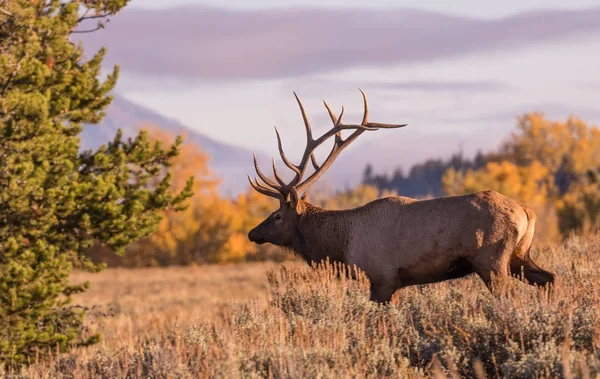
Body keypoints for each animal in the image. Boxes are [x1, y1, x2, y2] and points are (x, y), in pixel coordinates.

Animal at [246, 90, 556, 302]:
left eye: (276, 215)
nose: (252, 233)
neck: (342, 244)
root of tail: (527, 212)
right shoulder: (392, 283)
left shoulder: (381, 277)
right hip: (518, 255)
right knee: (550, 278)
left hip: (492, 259)